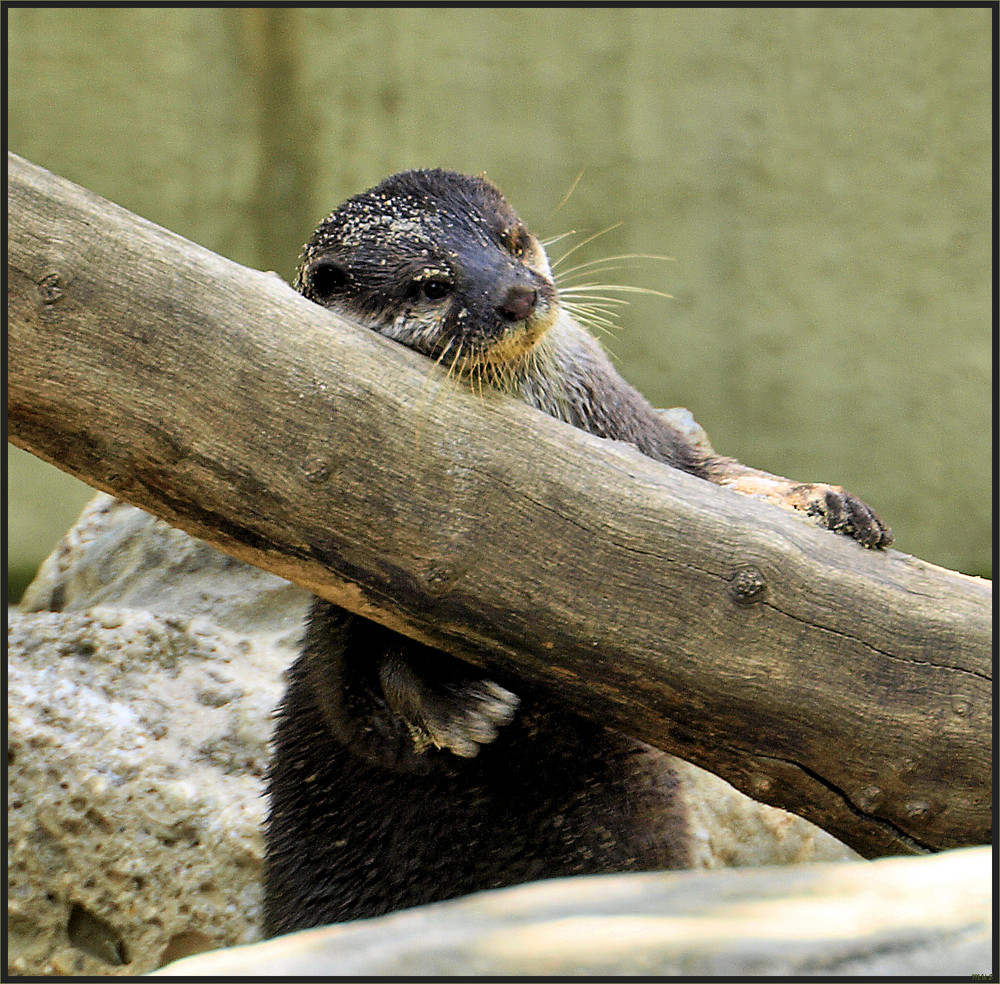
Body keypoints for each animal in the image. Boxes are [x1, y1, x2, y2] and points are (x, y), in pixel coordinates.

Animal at [260, 171, 892, 936]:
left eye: (511, 240)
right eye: (432, 284)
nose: (518, 294)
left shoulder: (644, 439)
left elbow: (720, 475)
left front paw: (831, 505)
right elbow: (360, 662)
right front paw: (463, 710)